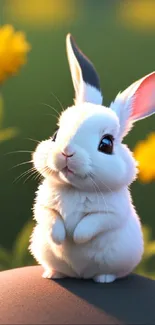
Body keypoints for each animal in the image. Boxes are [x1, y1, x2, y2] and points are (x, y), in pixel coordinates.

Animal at [29, 32, 155, 280]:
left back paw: (103, 278)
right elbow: (49, 217)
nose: (67, 152)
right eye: (55, 134)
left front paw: (76, 238)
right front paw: (60, 238)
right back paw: (52, 274)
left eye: (106, 144)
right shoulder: (43, 204)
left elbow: (94, 223)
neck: (75, 189)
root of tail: (80, 276)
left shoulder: (112, 212)